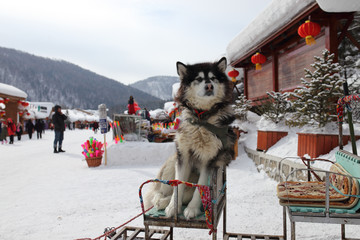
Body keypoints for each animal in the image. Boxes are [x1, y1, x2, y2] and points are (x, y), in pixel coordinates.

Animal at [144, 57, 236, 218]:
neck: (202, 119)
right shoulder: (183, 156)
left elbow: (200, 187)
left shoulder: (209, 161)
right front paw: (173, 207)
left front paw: (192, 209)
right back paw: (161, 201)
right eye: (199, 79)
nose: (209, 86)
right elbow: (178, 184)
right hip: (172, 163)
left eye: (213, 78)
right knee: (159, 191)